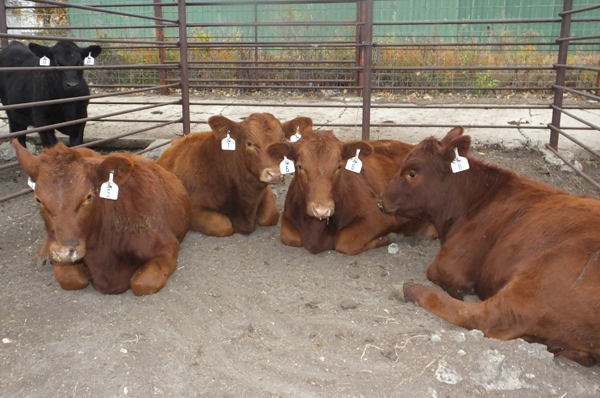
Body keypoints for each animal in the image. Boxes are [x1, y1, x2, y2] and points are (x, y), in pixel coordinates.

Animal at [13, 140, 190, 296]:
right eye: (38, 199)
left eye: (88, 196)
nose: (64, 253)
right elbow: (73, 279)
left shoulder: (167, 248)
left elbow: (141, 283)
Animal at [157, 112, 312, 236]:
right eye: (249, 143)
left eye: (283, 141)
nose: (274, 174)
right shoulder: (192, 209)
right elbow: (224, 226)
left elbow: (271, 215)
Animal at [268, 131, 436, 255]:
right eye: (299, 166)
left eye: (339, 166)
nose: (321, 210)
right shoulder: (287, 217)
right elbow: (289, 237)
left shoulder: (379, 217)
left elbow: (345, 242)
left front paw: (387, 238)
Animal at [380, 127, 600, 366]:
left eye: (412, 173)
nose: (381, 201)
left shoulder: (454, 261)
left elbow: (437, 273)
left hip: (537, 284)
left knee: (484, 318)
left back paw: (411, 289)